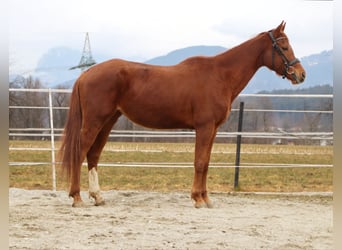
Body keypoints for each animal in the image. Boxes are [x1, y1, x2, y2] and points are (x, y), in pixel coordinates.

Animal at [58, 21, 304, 208]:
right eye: (283, 46)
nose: (301, 74)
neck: (220, 75)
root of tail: (87, 72)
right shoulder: (204, 127)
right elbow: (199, 162)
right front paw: (198, 199)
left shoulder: (212, 129)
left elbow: (206, 162)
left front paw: (205, 198)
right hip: (94, 121)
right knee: (80, 152)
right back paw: (77, 197)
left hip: (108, 121)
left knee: (93, 155)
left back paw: (98, 197)